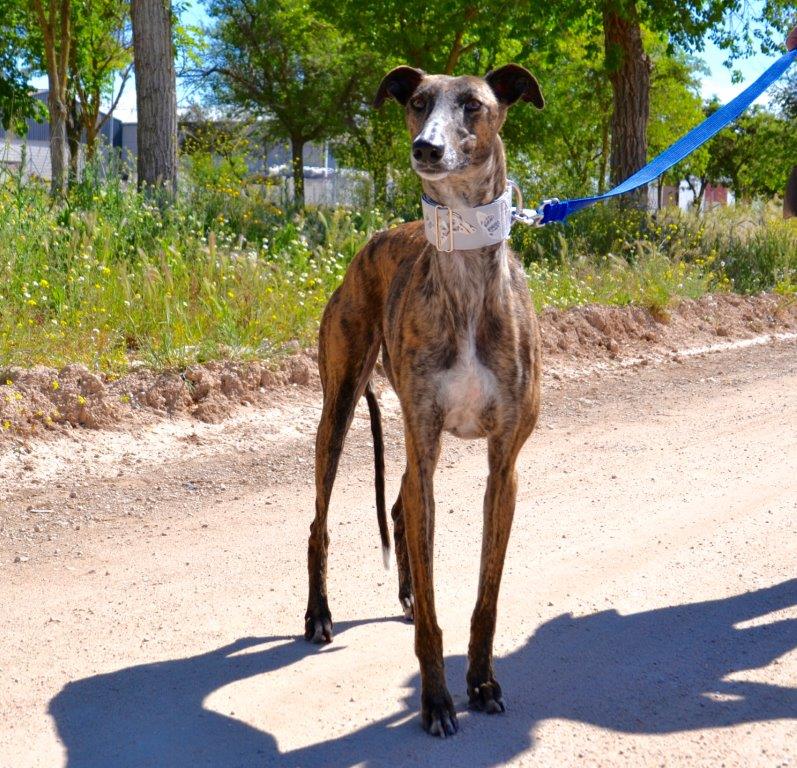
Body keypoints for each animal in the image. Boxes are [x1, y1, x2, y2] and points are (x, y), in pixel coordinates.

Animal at [304, 63, 540, 736]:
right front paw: (436, 699)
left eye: (473, 105)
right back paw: (319, 613)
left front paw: (481, 681)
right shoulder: (427, 440)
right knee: (320, 523)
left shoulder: (503, 465)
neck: (463, 275)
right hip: (341, 408)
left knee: (398, 503)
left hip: (408, 437)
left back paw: (405, 593)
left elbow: (486, 597)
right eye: (415, 102)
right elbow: (438, 611)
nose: (426, 149)